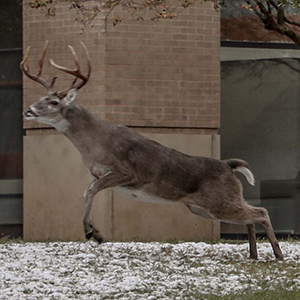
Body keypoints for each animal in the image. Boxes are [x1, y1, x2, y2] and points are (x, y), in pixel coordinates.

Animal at [21, 41, 284, 260]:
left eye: (54, 102)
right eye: (42, 97)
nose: (28, 110)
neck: (93, 144)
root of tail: (228, 165)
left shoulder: (126, 172)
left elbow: (91, 191)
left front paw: (91, 232)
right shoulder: (98, 173)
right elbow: (88, 192)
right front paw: (94, 232)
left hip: (217, 202)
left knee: (261, 211)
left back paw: (278, 255)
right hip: (205, 208)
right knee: (250, 215)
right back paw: (253, 255)